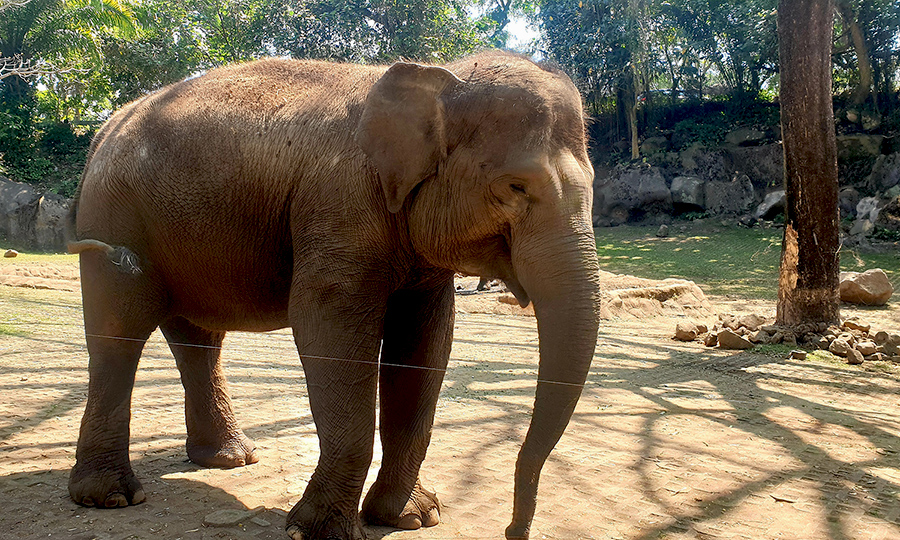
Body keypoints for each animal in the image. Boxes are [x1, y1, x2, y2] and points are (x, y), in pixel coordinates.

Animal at [67, 50, 600, 540]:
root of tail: (102, 132)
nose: (514, 530)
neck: (437, 74)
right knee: (119, 333)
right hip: (116, 217)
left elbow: (425, 344)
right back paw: (110, 497)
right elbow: (328, 330)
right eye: (516, 186)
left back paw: (230, 459)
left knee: (198, 340)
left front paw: (411, 517)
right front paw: (318, 531)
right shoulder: (340, 207)